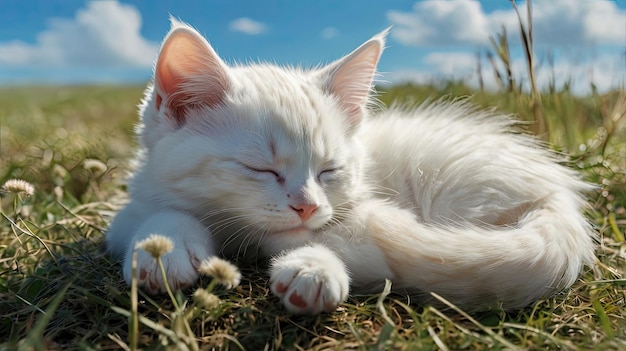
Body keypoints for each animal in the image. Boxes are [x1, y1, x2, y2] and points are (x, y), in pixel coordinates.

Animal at [107, 18, 596, 316]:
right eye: (261, 169)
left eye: (330, 170)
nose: (306, 206)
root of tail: (557, 196)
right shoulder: (133, 205)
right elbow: (158, 212)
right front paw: (163, 246)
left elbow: (348, 238)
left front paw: (314, 267)